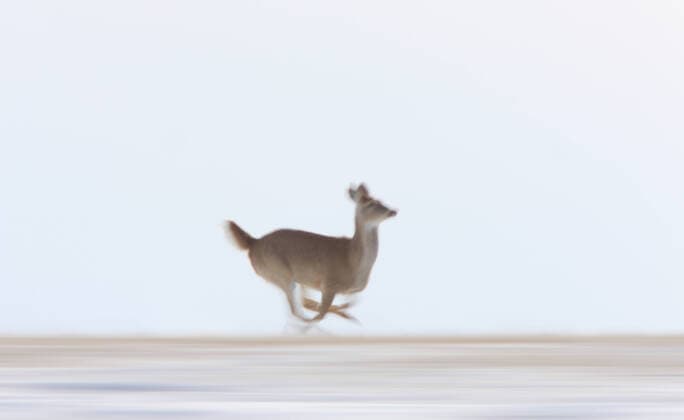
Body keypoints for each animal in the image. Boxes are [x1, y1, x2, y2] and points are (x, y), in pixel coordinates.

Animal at [224, 183, 397, 322]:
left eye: (381, 200)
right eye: (371, 204)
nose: (393, 211)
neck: (353, 260)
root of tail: (253, 243)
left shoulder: (347, 288)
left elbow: (347, 303)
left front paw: (346, 313)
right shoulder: (329, 284)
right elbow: (320, 314)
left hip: (296, 277)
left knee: (303, 305)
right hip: (280, 273)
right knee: (297, 312)